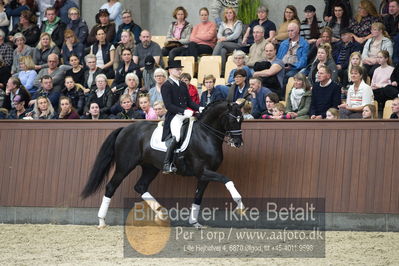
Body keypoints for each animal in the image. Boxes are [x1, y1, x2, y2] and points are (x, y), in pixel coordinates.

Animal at [82, 101, 247, 228]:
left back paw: (161, 213)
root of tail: (125, 129)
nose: (238, 143)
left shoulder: (205, 175)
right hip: (125, 166)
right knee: (111, 186)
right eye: (233, 120)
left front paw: (194, 222)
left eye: (242, 120)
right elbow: (227, 180)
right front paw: (240, 205)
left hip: (150, 167)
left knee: (140, 186)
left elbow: (198, 196)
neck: (205, 135)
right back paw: (101, 221)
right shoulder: (202, 171)